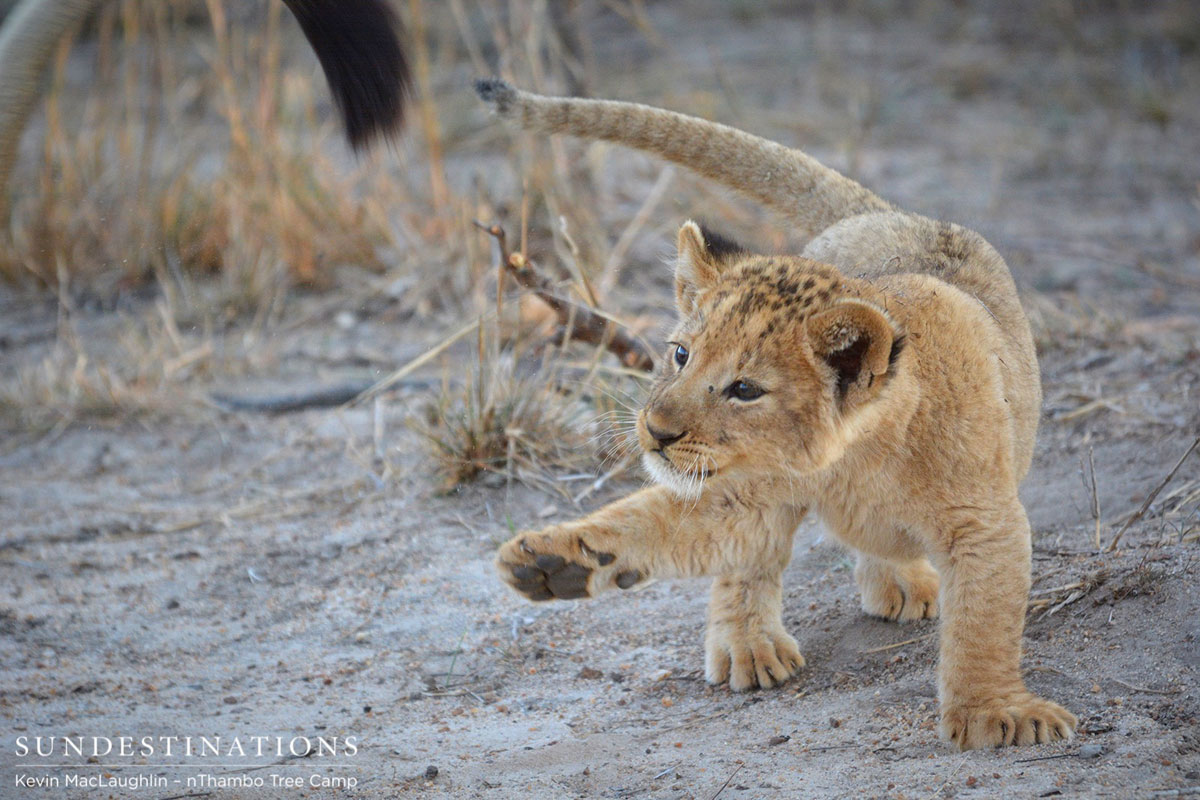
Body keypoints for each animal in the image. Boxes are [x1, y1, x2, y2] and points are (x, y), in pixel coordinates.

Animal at [478, 78, 1076, 750]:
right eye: (680, 355)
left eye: (744, 389)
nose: (655, 433)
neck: (855, 457)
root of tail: (889, 213)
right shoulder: (749, 488)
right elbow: (658, 524)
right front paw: (553, 560)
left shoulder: (985, 520)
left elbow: (983, 623)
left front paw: (994, 713)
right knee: (746, 561)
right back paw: (749, 643)